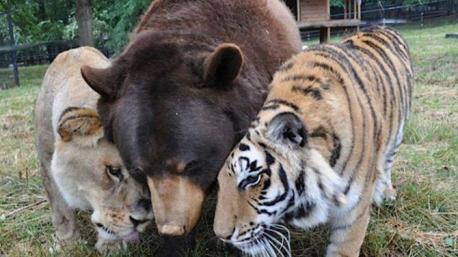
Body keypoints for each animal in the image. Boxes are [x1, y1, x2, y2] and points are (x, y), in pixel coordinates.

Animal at [35, 46, 154, 252]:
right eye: (113, 171)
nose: (143, 220)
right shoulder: (46, 162)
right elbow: (60, 210)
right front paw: (68, 243)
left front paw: (111, 246)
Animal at [213, 26, 414, 256]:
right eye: (219, 182)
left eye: (251, 179)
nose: (221, 235)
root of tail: (383, 26)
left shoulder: (353, 214)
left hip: (397, 134)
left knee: (388, 162)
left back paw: (387, 192)